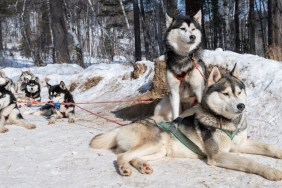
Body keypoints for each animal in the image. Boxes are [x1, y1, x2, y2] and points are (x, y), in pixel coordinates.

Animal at [90, 65, 282, 181]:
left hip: (159, 150)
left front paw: (279, 153)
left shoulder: (240, 145)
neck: (228, 123)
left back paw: (142, 166)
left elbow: (268, 147)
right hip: (154, 143)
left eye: (239, 92)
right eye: (226, 94)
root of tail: (125, 126)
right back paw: (124, 169)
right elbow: (249, 162)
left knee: (133, 157)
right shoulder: (218, 155)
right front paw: (271, 171)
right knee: (122, 156)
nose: (241, 106)